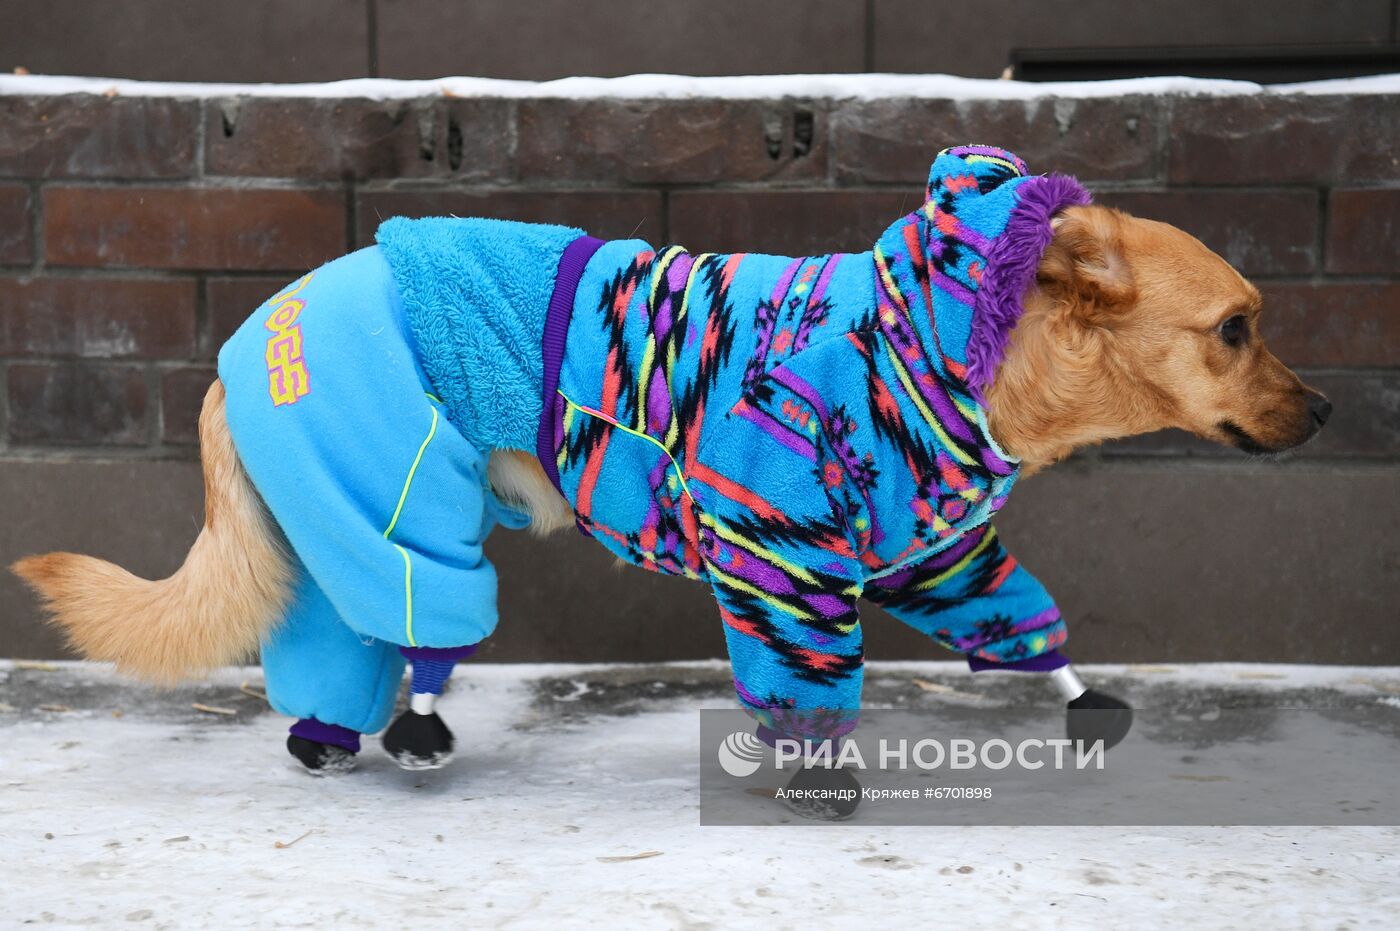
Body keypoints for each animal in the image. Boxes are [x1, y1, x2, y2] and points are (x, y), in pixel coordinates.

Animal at [10, 145, 1327, 778]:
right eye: (1234, 327)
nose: (1322, 412)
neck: (949, 339)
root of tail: (243, 352)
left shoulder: (935, 555)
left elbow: (1014, 618)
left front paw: (1072, 691)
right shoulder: (780, 566)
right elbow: (805, 682)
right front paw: (814, 777)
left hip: (341, 529)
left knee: (339, 648)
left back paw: (333, 736)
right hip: (411, 507)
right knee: (420, 628)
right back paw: (412, 726)